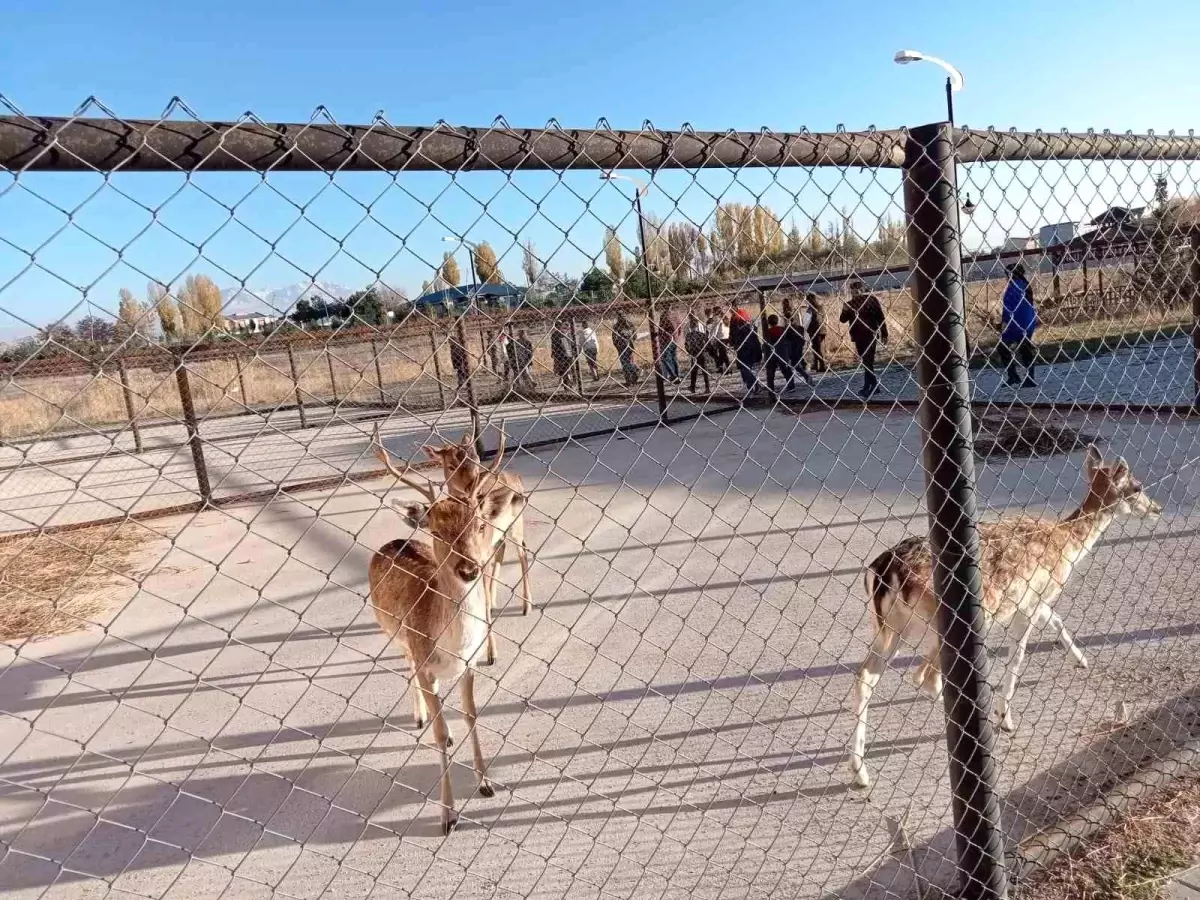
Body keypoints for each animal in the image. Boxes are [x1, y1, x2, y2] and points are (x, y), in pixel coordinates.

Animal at [364, 434, 501, 835]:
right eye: (437, 532)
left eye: (480, 526)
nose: (469, 569)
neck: (453, 646)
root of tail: (396, 539)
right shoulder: (424, 659)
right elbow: (439, 734)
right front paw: (447, 815)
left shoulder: (470, 664)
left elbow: (471, 714)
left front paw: (486, 783)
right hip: (393, 632)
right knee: (407, 664)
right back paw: (421, 716)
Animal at [422, 420, 535, 667]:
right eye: (451, 464)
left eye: (475, 458)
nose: (472, 485)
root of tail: (518, 478)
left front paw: (492, 655)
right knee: (501, 551)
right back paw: (494, 600)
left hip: (517, 524)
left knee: (522, 552)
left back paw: (526, 605)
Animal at [849, 444, 1156, 787]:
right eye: (1138, 487)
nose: (1157, 508)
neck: (1067, 545)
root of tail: (883, 571)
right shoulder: (1032, 599)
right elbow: (1018, 655)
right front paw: (1006, 718)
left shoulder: (1033, 601)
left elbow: (1056, 619)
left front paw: (1081, 659)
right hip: (948, 621)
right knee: (923, 675)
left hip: (889, 627)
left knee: (867, 678)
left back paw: (860, 771)